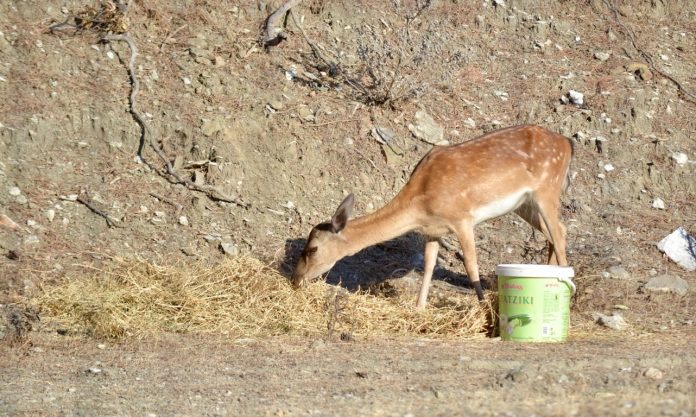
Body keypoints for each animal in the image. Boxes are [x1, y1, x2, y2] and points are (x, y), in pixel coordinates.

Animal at [290, 122, 572, 306]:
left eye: (312, 249)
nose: (295, 279)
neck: (420, 203)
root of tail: (567, 143)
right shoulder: (433, 231)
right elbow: (427, 266)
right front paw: (419, 308)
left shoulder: (462, 218)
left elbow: (471, 264)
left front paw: (483, 307)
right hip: (524, 204)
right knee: (557, 232)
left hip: (548, 188)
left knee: (559, 233)